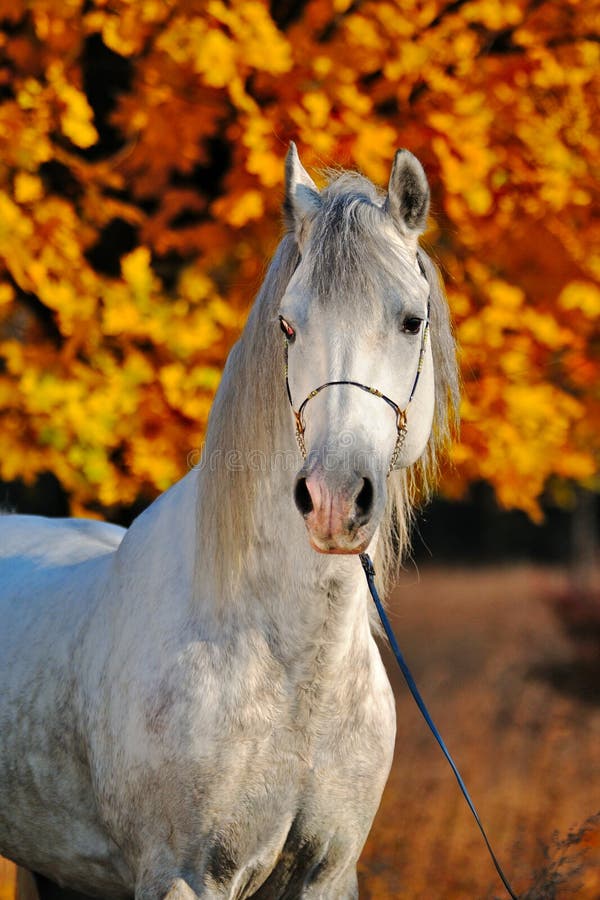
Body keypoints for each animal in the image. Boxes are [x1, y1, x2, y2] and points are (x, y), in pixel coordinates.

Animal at [0, 144, 458, 900]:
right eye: (288, 324)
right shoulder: (184, 875)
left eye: (411, 322)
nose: (334, 498)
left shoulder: (328, 876)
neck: (294, 668)